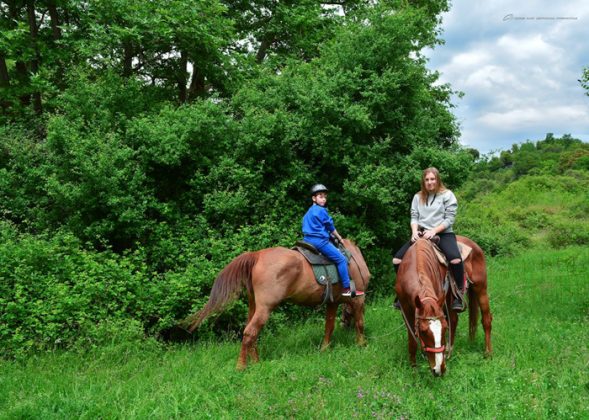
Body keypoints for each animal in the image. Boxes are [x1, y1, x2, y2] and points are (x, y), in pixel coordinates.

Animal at [186, 240, 370, 370]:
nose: (345, 326)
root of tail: (257, 255)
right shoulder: (358, 300)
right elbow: (360, 323)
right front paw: (361, 345)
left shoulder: (332, 303)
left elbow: (329, 327)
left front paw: (325, 349)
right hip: (265, 308)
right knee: (250, 332)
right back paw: (241, 366)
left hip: (254, 306)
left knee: (250, 332)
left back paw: (256, 362)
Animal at [396, 235, 492, 376]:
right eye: (423, 331)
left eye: (444, 329)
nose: (439, 369)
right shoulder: (405, 308)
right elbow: (412, 339)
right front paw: (413, 367)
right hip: (448, 297)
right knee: (454, 319)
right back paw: (449, 350)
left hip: (480, 288)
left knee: (486, 319)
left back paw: (488, 353)